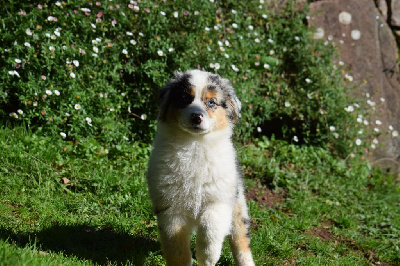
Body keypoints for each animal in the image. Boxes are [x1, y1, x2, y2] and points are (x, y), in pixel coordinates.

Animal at [148, 69, 256, 264]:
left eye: (211, 102)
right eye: (185, 98)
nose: (196, 116)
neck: (195, 145)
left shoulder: (219, 201)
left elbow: (209, 228)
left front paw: (207, 256)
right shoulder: (170, 209)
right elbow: (176, 248)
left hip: (238, 208)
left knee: (241, 241)